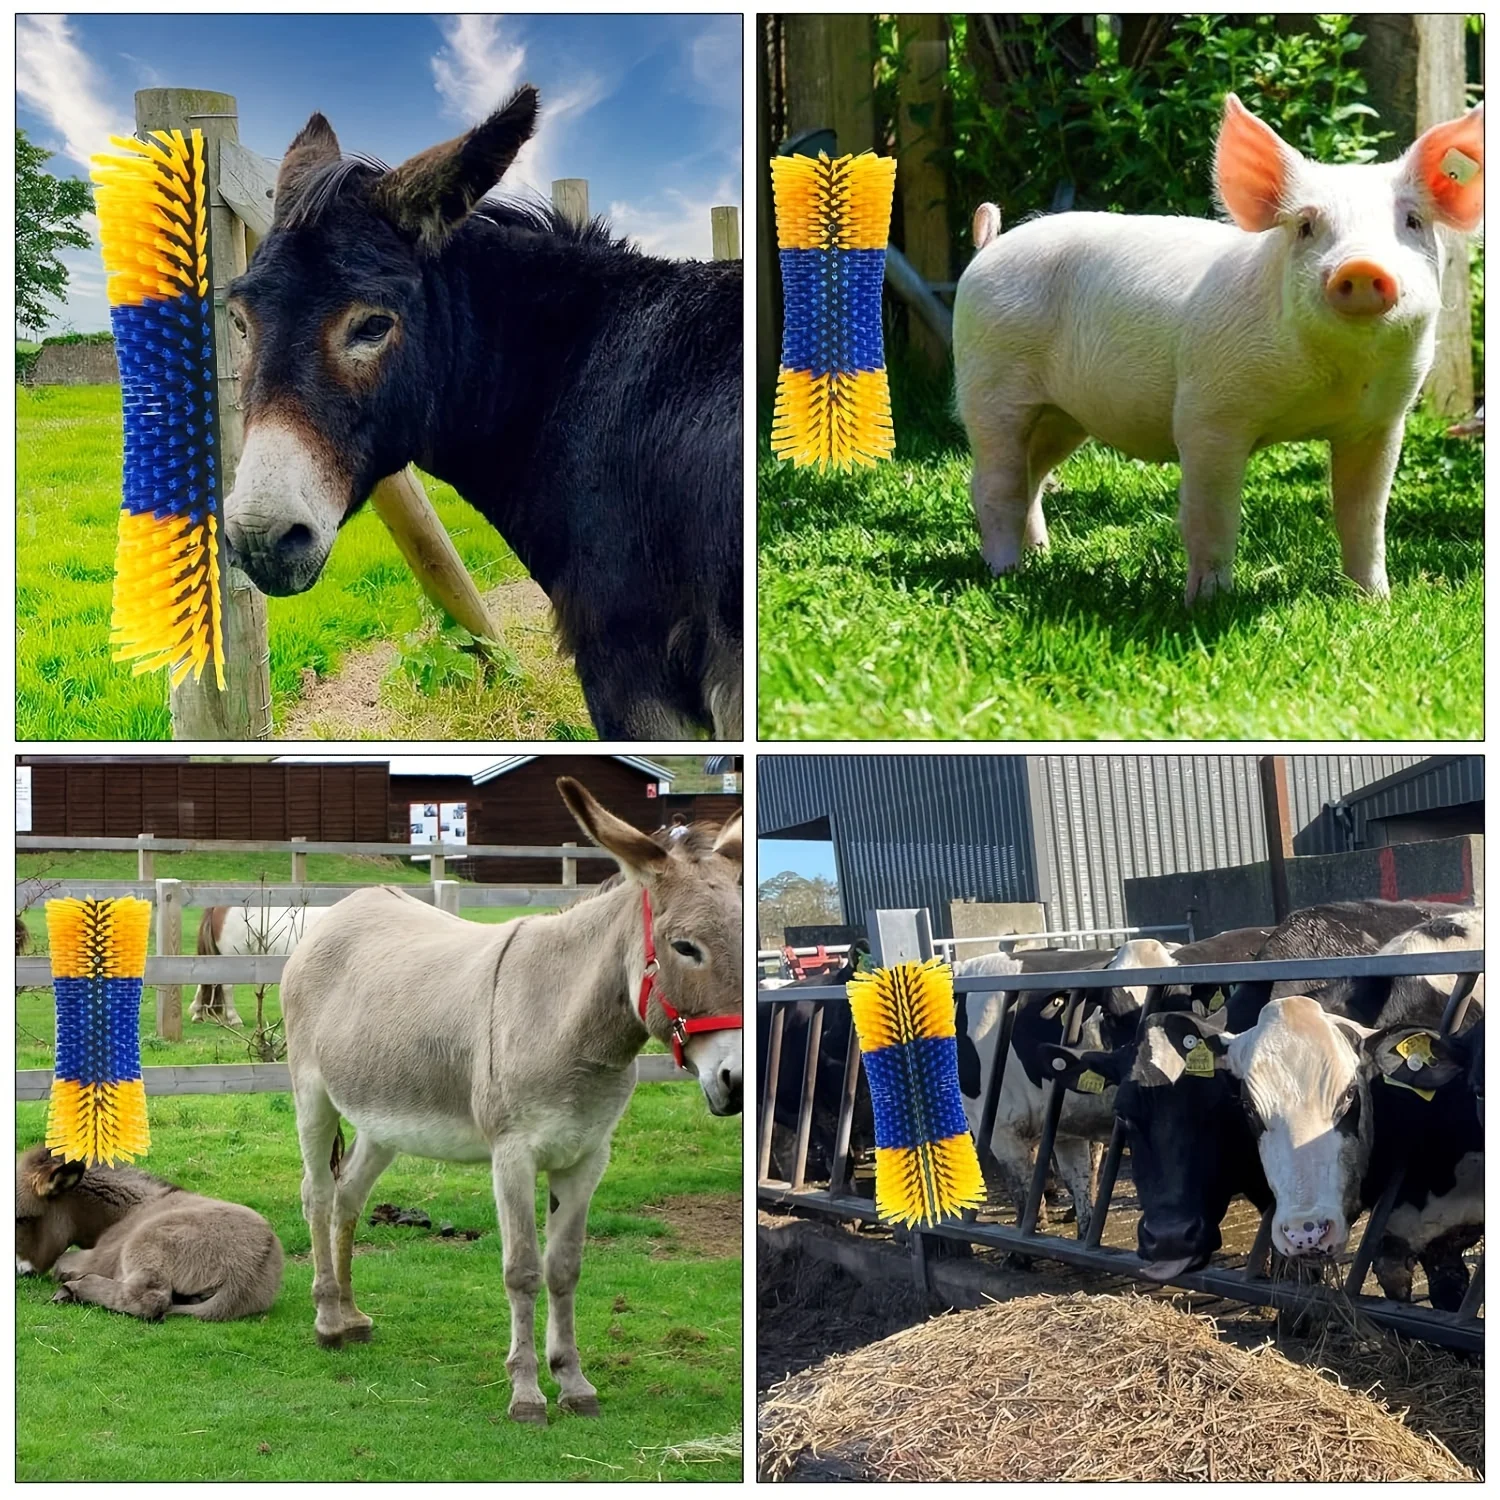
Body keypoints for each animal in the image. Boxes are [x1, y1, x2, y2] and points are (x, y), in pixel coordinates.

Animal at [279, 778, 742, 1424]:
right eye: (685, 948)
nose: (736, 1081)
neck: (568, 1022)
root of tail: (348, 906)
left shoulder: (587, 1156)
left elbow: (565, 1268)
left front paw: (573, 1382)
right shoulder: (513, 1155)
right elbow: (522, 1270)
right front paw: (526, 1393)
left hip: (383, 1119)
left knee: (348, 1196)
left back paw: (351, 1316)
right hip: (313, 1094)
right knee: (318, 1195)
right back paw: (326, 1320)